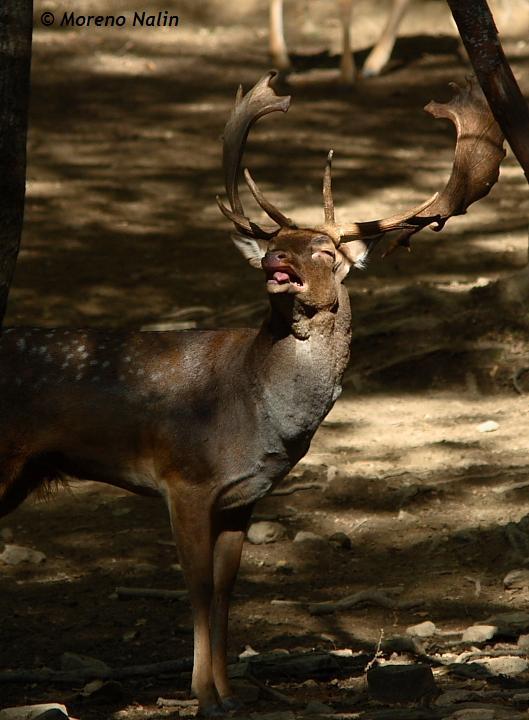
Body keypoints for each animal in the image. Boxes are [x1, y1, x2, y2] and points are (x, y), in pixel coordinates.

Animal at [1, 73, 504, 716]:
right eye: (278, 239)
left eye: (326, 251)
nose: (275, 258)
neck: (256, 411)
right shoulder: (184, 478)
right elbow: (194, 587)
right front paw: (202, 695)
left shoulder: (244, 497)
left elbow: (223, 590)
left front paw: (229, 692)